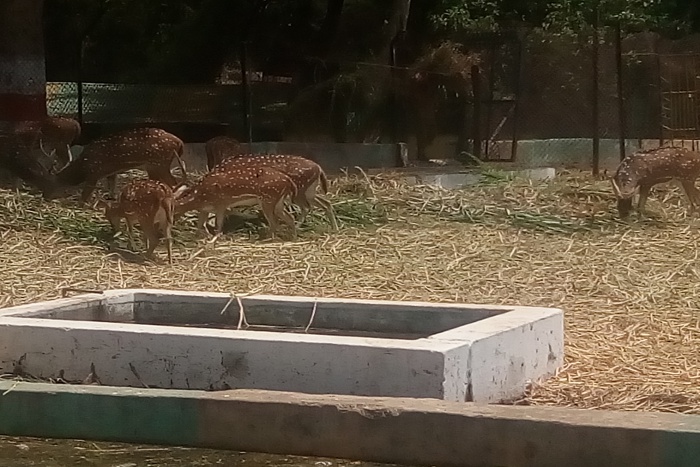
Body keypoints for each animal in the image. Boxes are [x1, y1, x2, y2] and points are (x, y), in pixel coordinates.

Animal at [40, 127, 188, 205]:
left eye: (49, 184)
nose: (44, 196)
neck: (83, 166)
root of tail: (180, 143)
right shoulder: (110, 172)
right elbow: (112, 186)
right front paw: (111, 198)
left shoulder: (94, 174)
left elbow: (85, 194)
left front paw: (80, 204)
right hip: (157, 165)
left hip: (158, 163)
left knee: (173, 182)